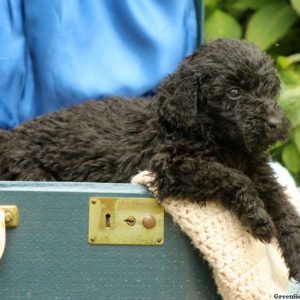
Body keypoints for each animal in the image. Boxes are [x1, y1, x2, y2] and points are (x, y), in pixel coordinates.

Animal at [0, 38, 300, 280]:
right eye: (234, 92)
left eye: (269, 91)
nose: (276, 124)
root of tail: (10, 136)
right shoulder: (172, 167)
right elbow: (233, 178)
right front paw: (258, 217)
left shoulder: (262, 174)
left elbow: (285, 209)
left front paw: (295, 253)